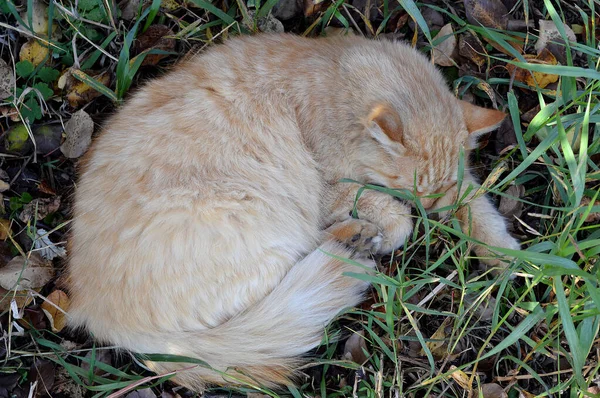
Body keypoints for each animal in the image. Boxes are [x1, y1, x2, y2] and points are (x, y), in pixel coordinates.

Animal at [68, 34, 520, 392]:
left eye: (434, 195)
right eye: (406, 188)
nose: (429, 212)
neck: (337, 79)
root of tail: (100, 317)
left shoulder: (452, 188)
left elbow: (477, 208)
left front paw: (511, 260)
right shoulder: (332, 189)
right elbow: (395, 217)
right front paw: (395, 228)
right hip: (264, 223)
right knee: (308, 255)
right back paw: (357, 242)